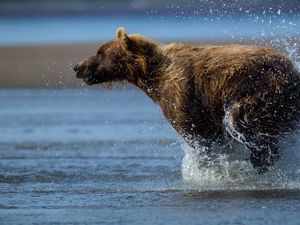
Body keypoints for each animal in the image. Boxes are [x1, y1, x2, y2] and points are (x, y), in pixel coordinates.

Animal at [74, 27, 300, 173]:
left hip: (262, 89)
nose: (77, 66)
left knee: (242, 119)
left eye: (100, 52)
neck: (151, 75)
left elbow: (199, 134)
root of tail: (292, 69)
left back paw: (261, 159)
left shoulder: (182, 94)